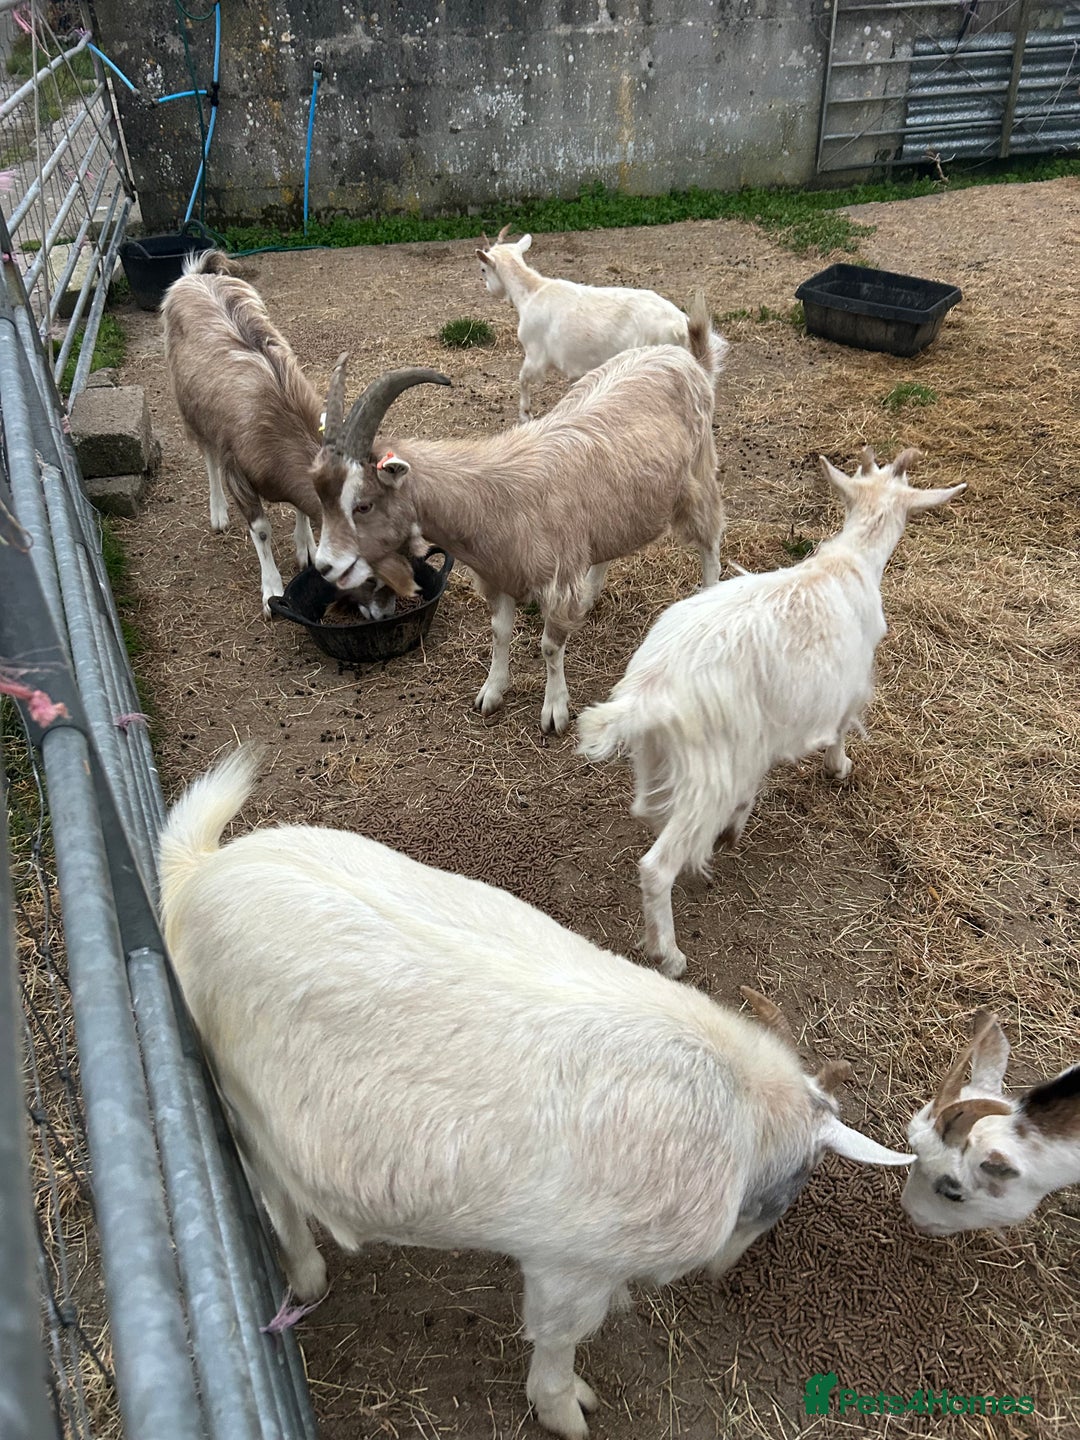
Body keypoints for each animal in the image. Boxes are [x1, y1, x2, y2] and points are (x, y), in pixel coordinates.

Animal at [159, 746, 914, 1440]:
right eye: (794, 1190)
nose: (724, 1274)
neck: (743, 1114)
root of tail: (201, 873)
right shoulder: (572, 1264)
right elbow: (557, 1339)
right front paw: (568, 1411)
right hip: (235, 1088)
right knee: (268, 1181)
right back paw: (309, 1277)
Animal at [161, 250, 433, 617]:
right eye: (361, 567)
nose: (384, 612)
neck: (273, 413)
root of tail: (196, 276)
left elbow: (301, 508)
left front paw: (306, 548)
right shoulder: (238, 474)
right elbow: (261, 530)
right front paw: (270, 592)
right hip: (189, 406)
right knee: (207, 453)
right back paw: (218, 514)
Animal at [310, 295, 729, 734]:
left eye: (363, 504)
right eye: (321, 497)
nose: (324, 566)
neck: (493, 499)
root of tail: (691, 360)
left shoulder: (556, 581)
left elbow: (549, 647)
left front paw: (554, 710)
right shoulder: (498, 575)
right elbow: (499, 633)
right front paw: (492, 692)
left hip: (699, 477)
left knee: (711, 539)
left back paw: (708, 597)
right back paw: (591, 595)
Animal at [476, 226, 698, 422]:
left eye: (483, 269)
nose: (488, 288)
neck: (532, 292)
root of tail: (680, 323)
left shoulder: (535, 353)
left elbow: (522, 378)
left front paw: (525, 414)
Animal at [577, 447, 966, 977]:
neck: (848, 561)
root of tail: (650, 690)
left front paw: (739, 822)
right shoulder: (849, 684)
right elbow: (840, 731)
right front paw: (839, 769)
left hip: (658, 755)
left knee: (653, 812)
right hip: (710, 769)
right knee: (657, 866)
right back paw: (670, 955)